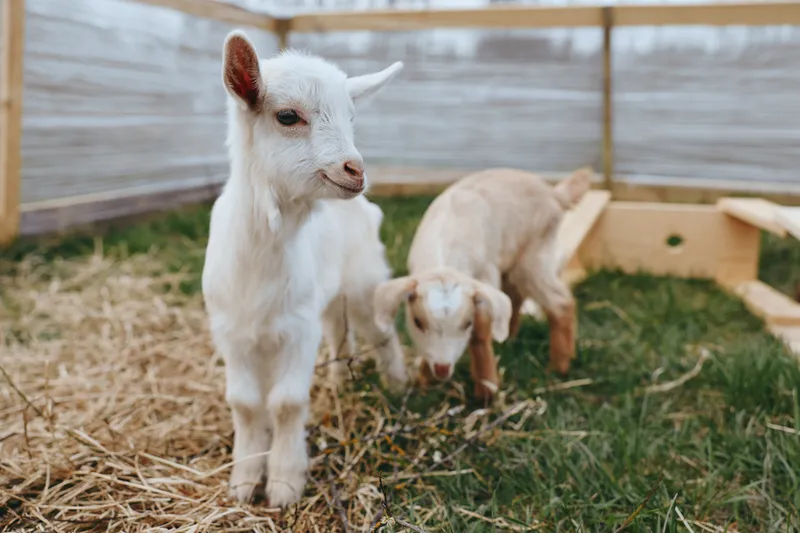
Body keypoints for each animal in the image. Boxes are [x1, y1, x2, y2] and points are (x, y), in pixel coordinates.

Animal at [201, 30, 407, 507]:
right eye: (288, 116)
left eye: (352, 117)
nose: (356, 170)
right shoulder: (232, 330)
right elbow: (244, 402)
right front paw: (243, 479)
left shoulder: (296, 327)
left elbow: (287, 402)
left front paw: (283, 482)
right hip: (326, 299)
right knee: (338, 330)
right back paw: (338, 379)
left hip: (364, 283)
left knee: (380, 331)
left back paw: (399, 384)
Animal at [374, 168, 591, 401]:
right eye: (417, 322)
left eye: (467, 323)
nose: (442, 368)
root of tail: (555, 194)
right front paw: (425, 381)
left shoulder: (486, 275)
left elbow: (480, 331)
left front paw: (486, 390)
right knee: (514, 296)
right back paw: (509, 339)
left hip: (535, 255)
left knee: (560, 302)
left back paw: (559, 366)